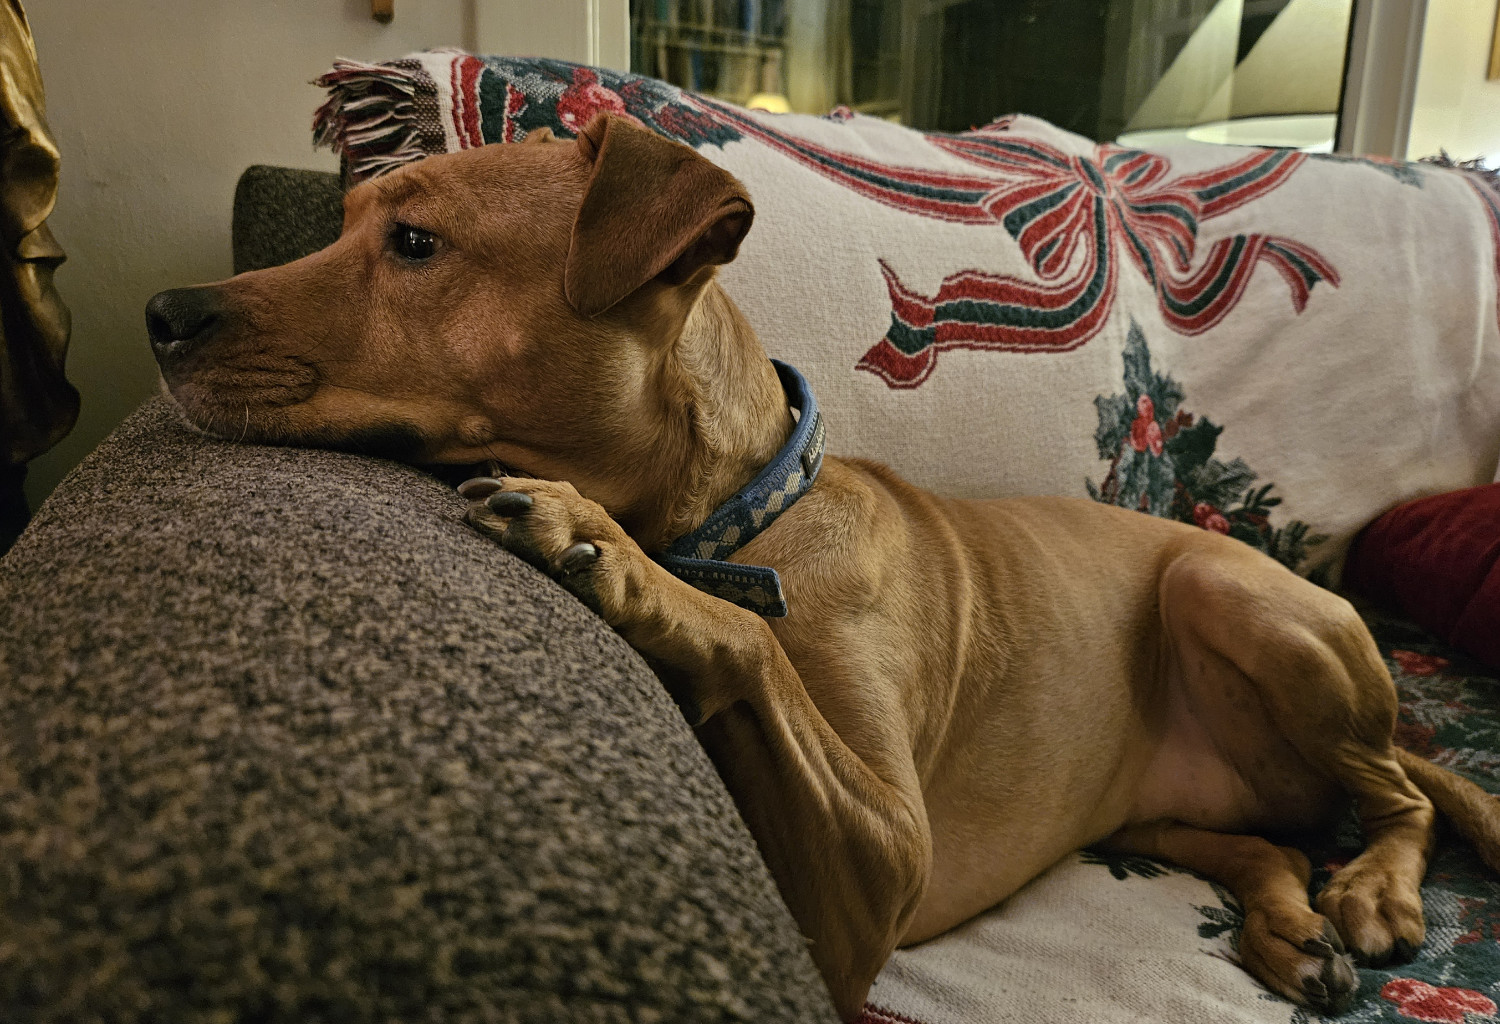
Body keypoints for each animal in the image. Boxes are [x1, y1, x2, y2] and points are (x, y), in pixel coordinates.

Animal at [146, 116, 1500, 1019]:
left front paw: (606, 553)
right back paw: (1290, 926)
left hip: (1223, 593)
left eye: (418, 242)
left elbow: (748, 639)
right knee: (1279, 842)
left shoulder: (884, 855)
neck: (740, 522)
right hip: (1172, 797)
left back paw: (1375, 890)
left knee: (1409, 796)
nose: (161, 314)